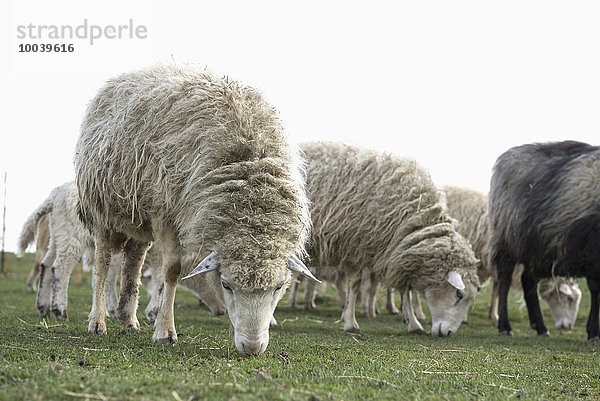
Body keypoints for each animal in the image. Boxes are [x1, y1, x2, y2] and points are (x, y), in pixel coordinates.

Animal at [75, 65, 318, 356]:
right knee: (102, 263)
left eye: (279, 286)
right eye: (226, 284)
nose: (252, 348)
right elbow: (172, 271)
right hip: (101, 208)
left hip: (137, 218)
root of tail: (126, 76)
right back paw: (97, 321)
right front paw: (165, 331)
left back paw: (128, 320)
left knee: (133, 263)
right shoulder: (166, 214)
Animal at [302, 142, 480, 336]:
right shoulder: (355, 244)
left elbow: (405, 291)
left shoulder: (398, 252)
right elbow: (356, 285)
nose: (448, 333)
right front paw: (350, 322)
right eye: (459, 295)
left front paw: (413, 323)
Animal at [490, 141, 600, 338]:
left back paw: (540, 327)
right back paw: (505, 326)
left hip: (537, 245)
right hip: (508, 239)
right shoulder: (592, 248)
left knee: (528, 281)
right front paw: (594, 331)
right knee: (505, 280)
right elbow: (596, 291)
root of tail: (508, 155)